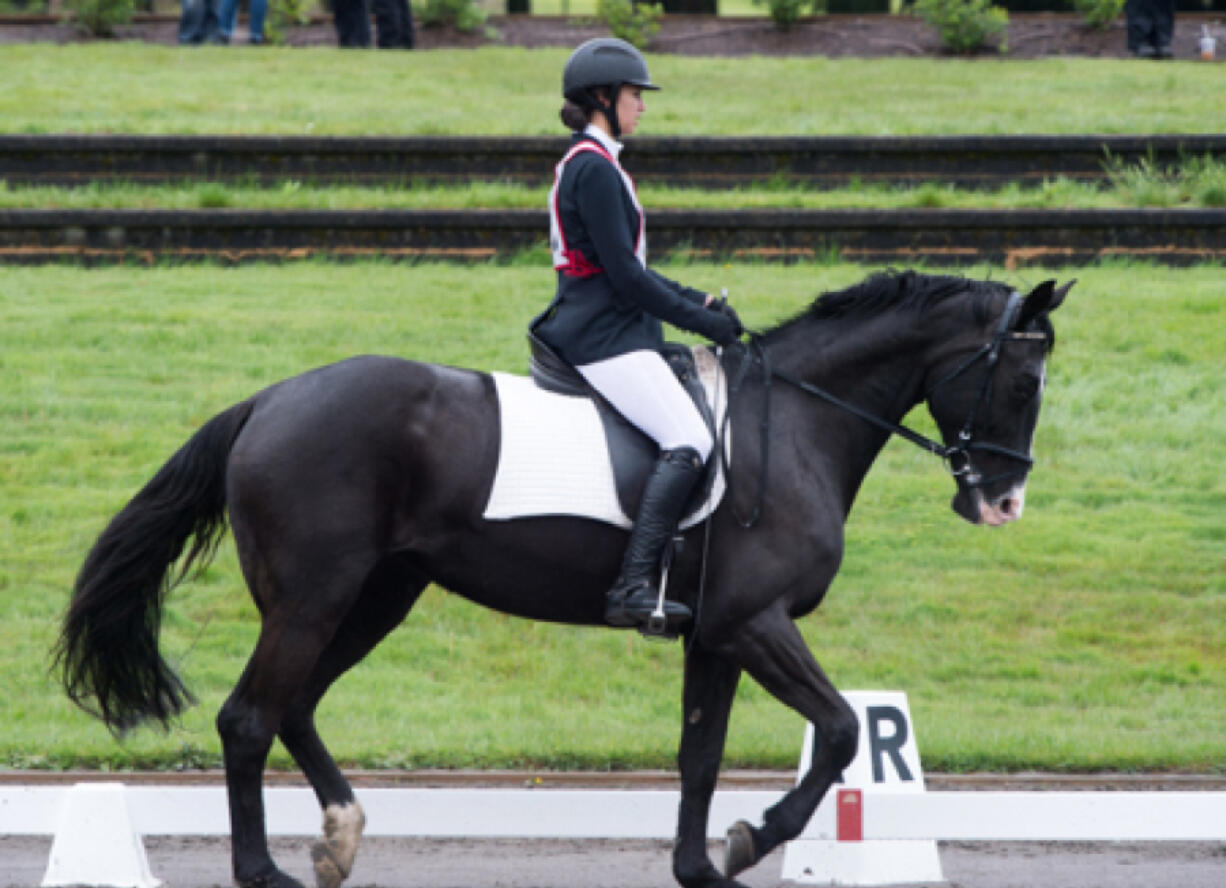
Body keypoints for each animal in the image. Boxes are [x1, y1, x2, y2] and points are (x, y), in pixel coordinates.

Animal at [55, 268, 1064, 888]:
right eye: (1022, 383)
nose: (1003, 503)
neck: (797, 424)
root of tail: (267, 400)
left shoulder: (714, 633)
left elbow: (701, 755)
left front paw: (699, 865)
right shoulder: (754, 622)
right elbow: (845, 729)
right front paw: (754, 839)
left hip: (379, 596)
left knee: (294, 706)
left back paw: (339, 839)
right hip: (313, 598)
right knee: (249, 716)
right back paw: (261, 869)